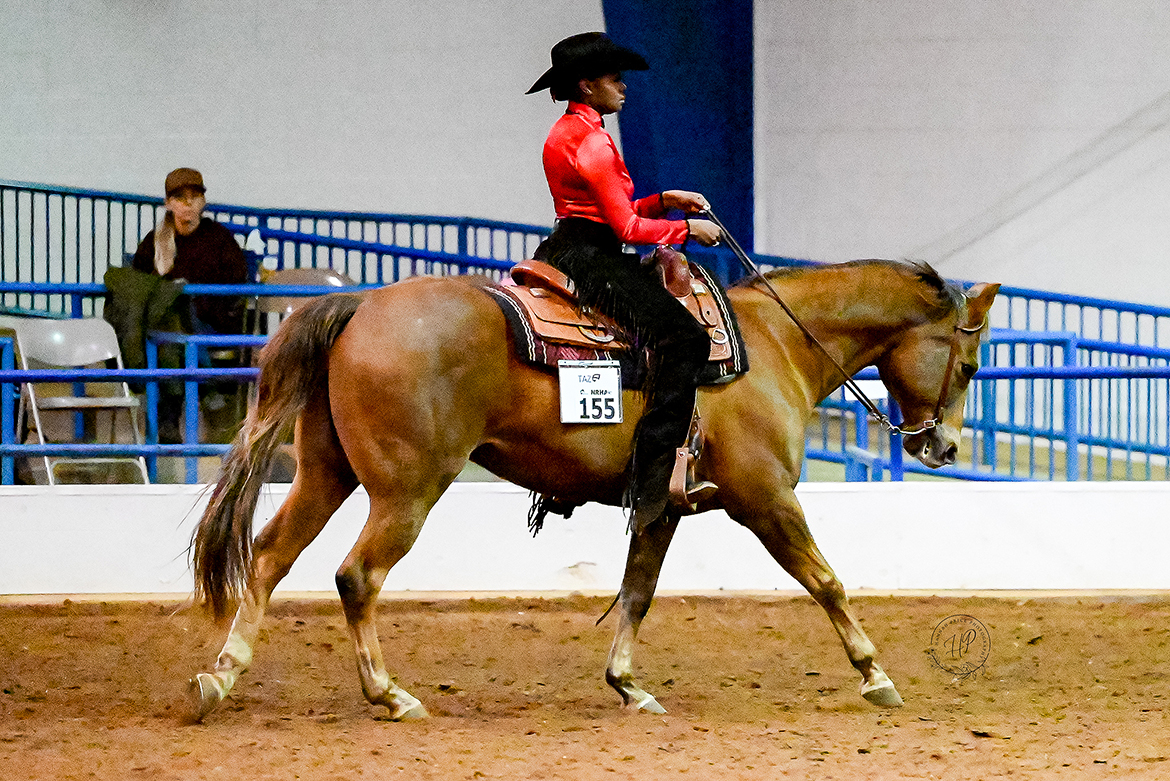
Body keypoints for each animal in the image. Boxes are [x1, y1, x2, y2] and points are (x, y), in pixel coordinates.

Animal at [186, 258, 999, 721]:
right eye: (969, 364)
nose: (944, 445)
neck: (774, 344)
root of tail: (360, 304)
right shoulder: (766, 499)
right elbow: (826, 580)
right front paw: (876, 674)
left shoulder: (664, 507)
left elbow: (637, 591)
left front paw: (628, 684)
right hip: (405, 491)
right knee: (357, 576)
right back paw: (390, 694)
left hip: (327, 474)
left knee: (268, 558)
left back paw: (220, 679)